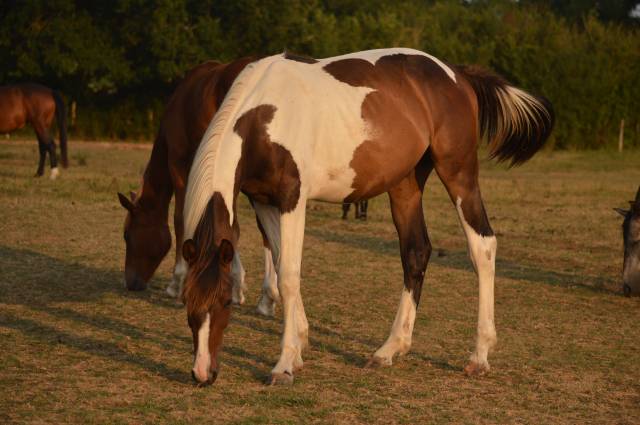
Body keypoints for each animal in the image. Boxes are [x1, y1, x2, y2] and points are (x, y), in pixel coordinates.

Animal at [116, 57, 281, 316]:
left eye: (127, 234)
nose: (131, 283)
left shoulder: (180, 166)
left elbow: (181, 219)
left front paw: (177, 282)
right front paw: (236, 286)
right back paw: (267, 297)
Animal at [180, 48, 554, 386]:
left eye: (225, 302)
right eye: (187, 300)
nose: (202, 373)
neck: (263, 118)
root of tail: (457, 75)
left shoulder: (291, 200)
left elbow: (288, 276)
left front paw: (284, 365)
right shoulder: (262, 201)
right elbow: (284, 264)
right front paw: (299, 346)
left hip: (458, 173)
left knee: (482, 247)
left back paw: (479, 355)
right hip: (405, 184)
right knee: (416, 252)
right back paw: (389, 349)